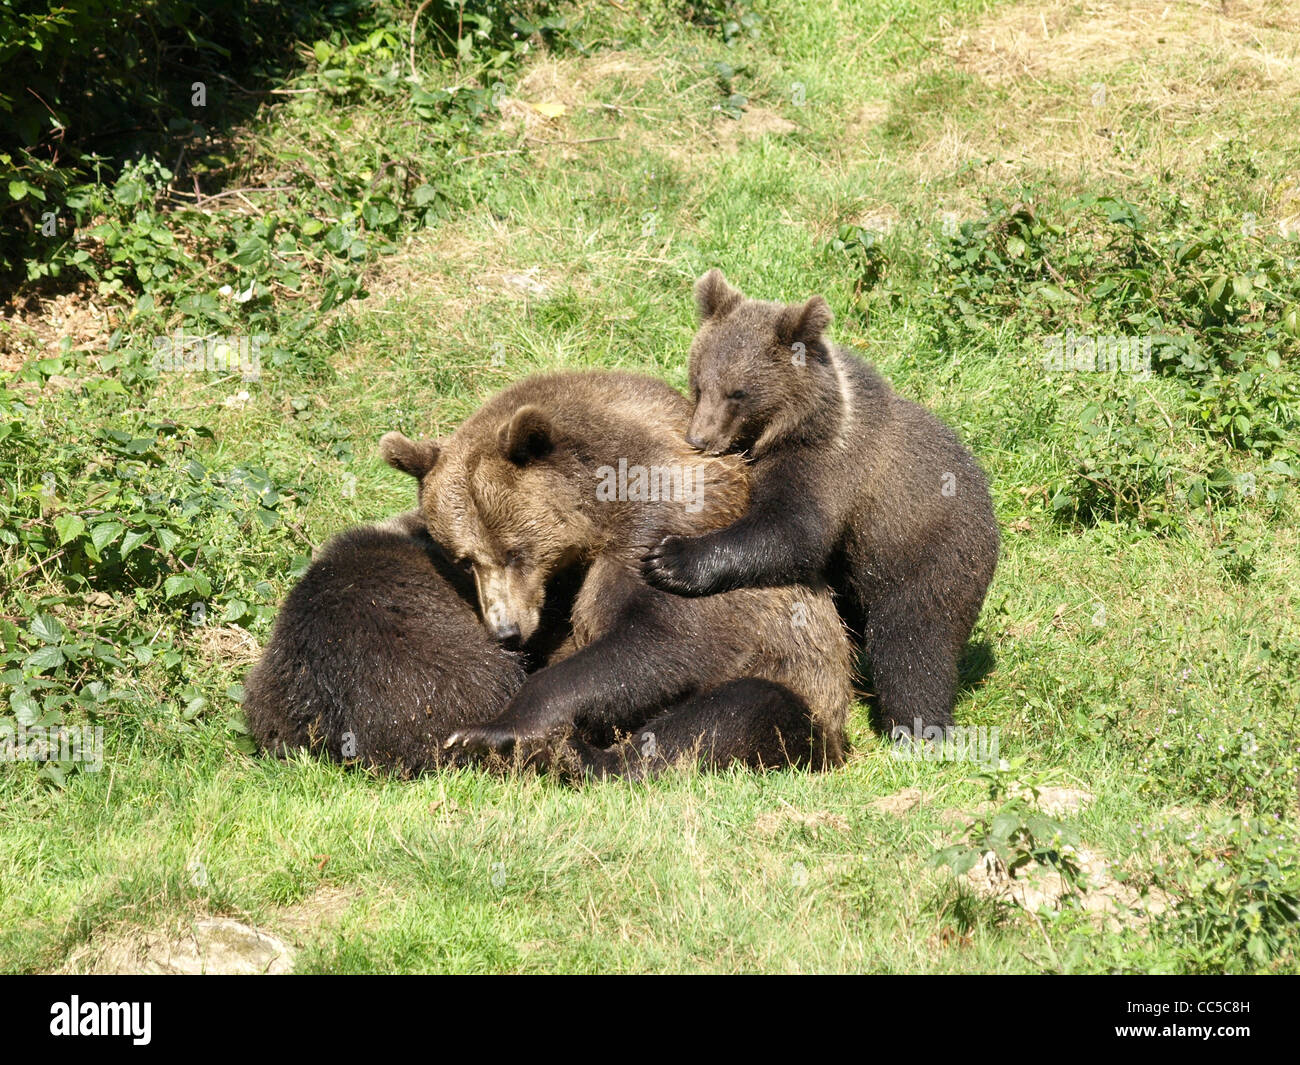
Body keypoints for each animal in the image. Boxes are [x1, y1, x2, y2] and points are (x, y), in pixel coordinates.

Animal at [379, 370, 853, 779]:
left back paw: (582, 756)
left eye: (514, 552)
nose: (506, 631)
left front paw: (490, 728)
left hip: (806, 693)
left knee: (735, 712)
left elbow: (664, 638)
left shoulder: (663, 528)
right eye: (464, 559)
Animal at [641, 269, 999, 738]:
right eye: (699, 381)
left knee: (913, 646)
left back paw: (917, 729)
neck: (797, 424)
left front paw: (670, 558)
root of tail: (992, 522)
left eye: (738, 392)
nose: (700, 438)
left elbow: (791, 532)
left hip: (926, 557)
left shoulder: (827, 467)